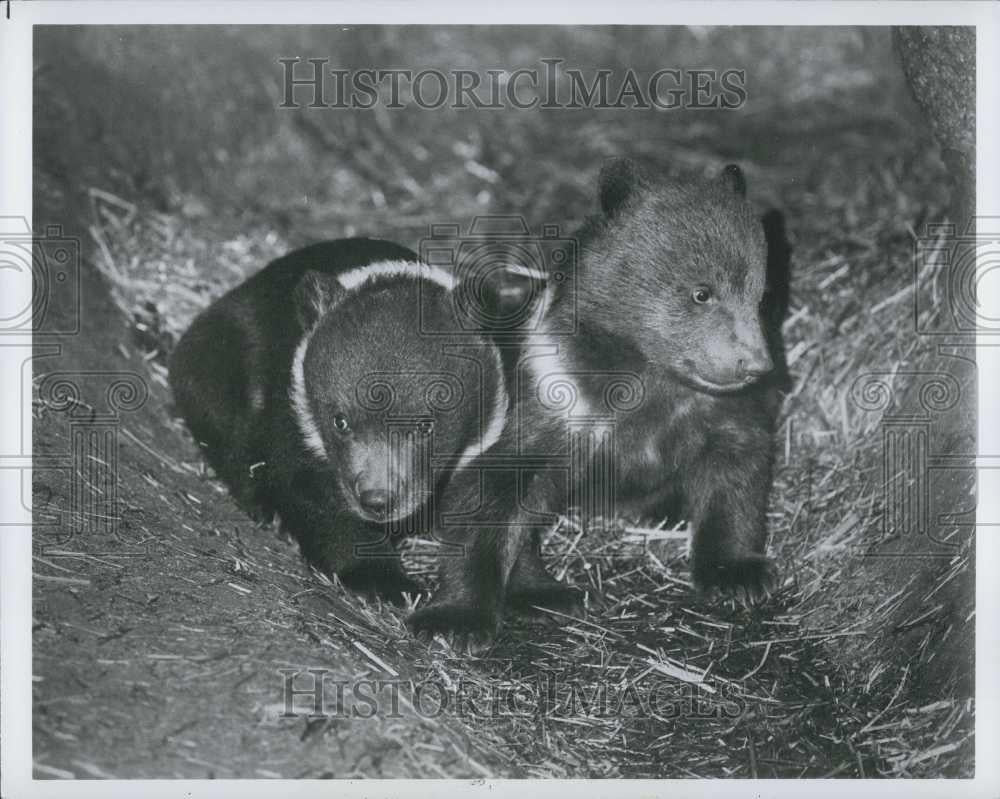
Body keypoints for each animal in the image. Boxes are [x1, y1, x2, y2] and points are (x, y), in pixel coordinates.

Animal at [169, 238, 508, 601]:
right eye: (340, 422)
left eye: (425, 425)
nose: (377, 501)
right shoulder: (295, 409)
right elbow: (311, 490)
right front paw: (387, 581)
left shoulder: (486, 434)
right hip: (217, 361)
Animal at [408, 160, 791, 647]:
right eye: (702, 292)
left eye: (761, 295)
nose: (755, 365)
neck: (646, 371)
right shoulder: (552, 399)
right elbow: (491, 494)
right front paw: (456, 618)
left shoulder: (717, 410)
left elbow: (737, 473)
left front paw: (738, 575)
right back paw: (548, 593)